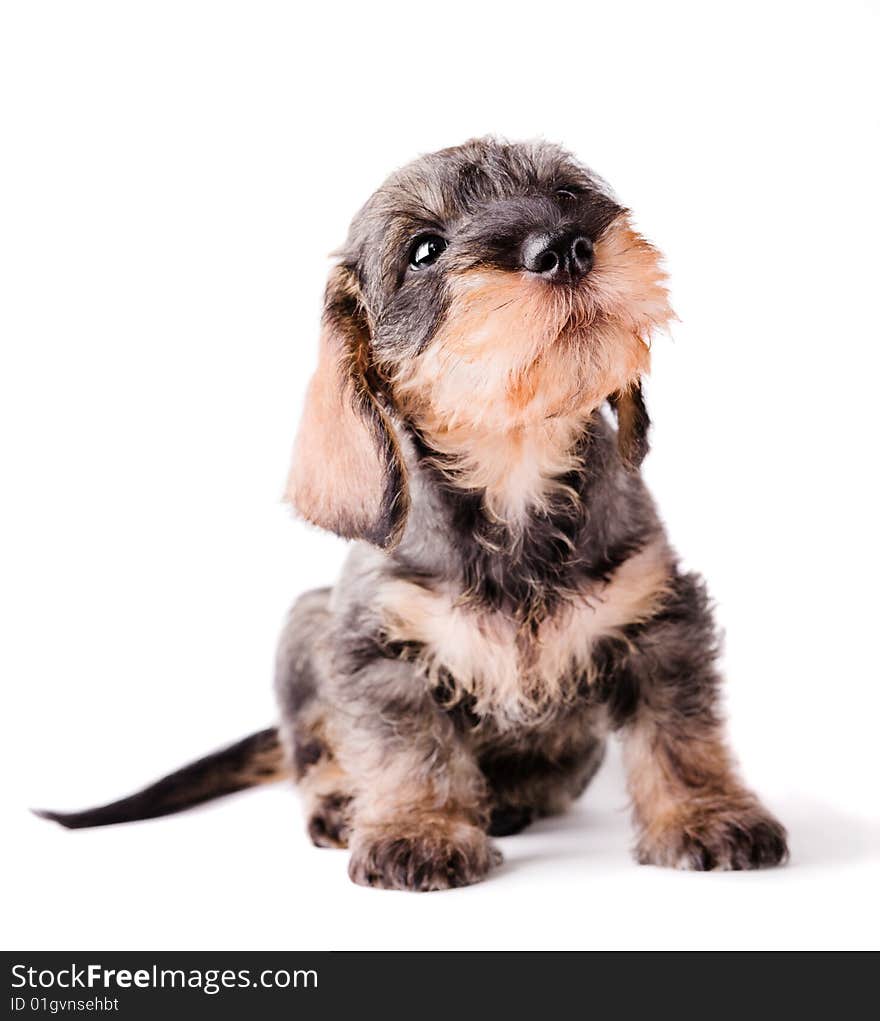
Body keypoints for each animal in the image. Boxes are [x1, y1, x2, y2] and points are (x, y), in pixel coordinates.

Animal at [37, 139, 788, 890]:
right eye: (425, 250)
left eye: (569, 194)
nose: (566, 247)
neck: (514, 474)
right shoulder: (380, 650)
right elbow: (410, 748)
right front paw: (418, 829)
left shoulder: (661, 620)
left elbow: (679, 732)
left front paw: (705, 814)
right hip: (306, 623)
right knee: (314, 754)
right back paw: (342, 803)